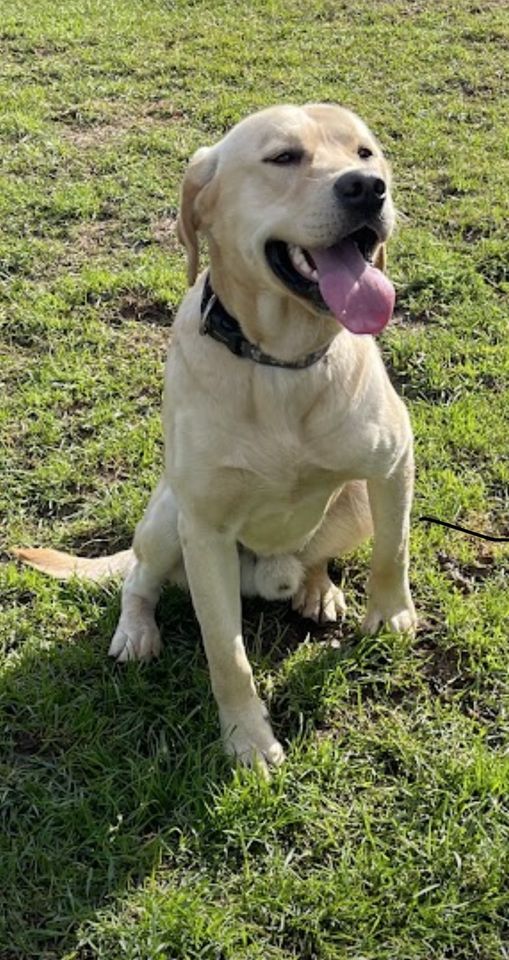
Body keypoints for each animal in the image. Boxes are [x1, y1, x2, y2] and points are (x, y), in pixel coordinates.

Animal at [16, 105, 416, 776]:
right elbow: (227, 656)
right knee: (138, 579)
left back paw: (317, 589)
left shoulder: (393, 462)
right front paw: (248, 742)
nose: (369, 188)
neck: (279, 361)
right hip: (166, 517)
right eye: (284, 157)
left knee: (316, 554)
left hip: (354, 501)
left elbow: (394, 551)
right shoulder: (203, 531)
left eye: (366, 153)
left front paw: (391, 615)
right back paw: (136, 631)